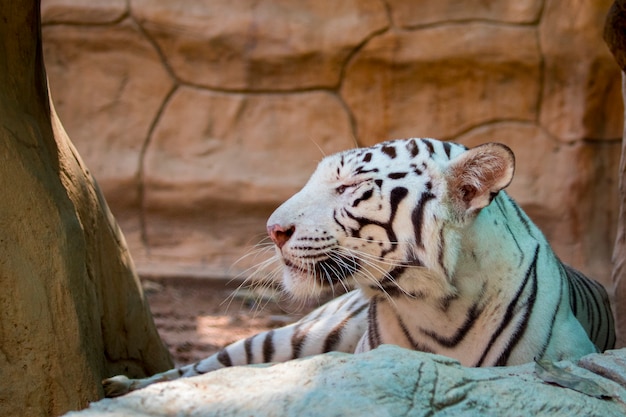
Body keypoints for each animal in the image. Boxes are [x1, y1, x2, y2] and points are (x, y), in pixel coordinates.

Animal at [103, 138, 616, 394]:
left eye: (350, 186)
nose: (273, 229)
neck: (435, 309)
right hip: (287, 337)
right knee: (203, 369)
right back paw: (122, 386)